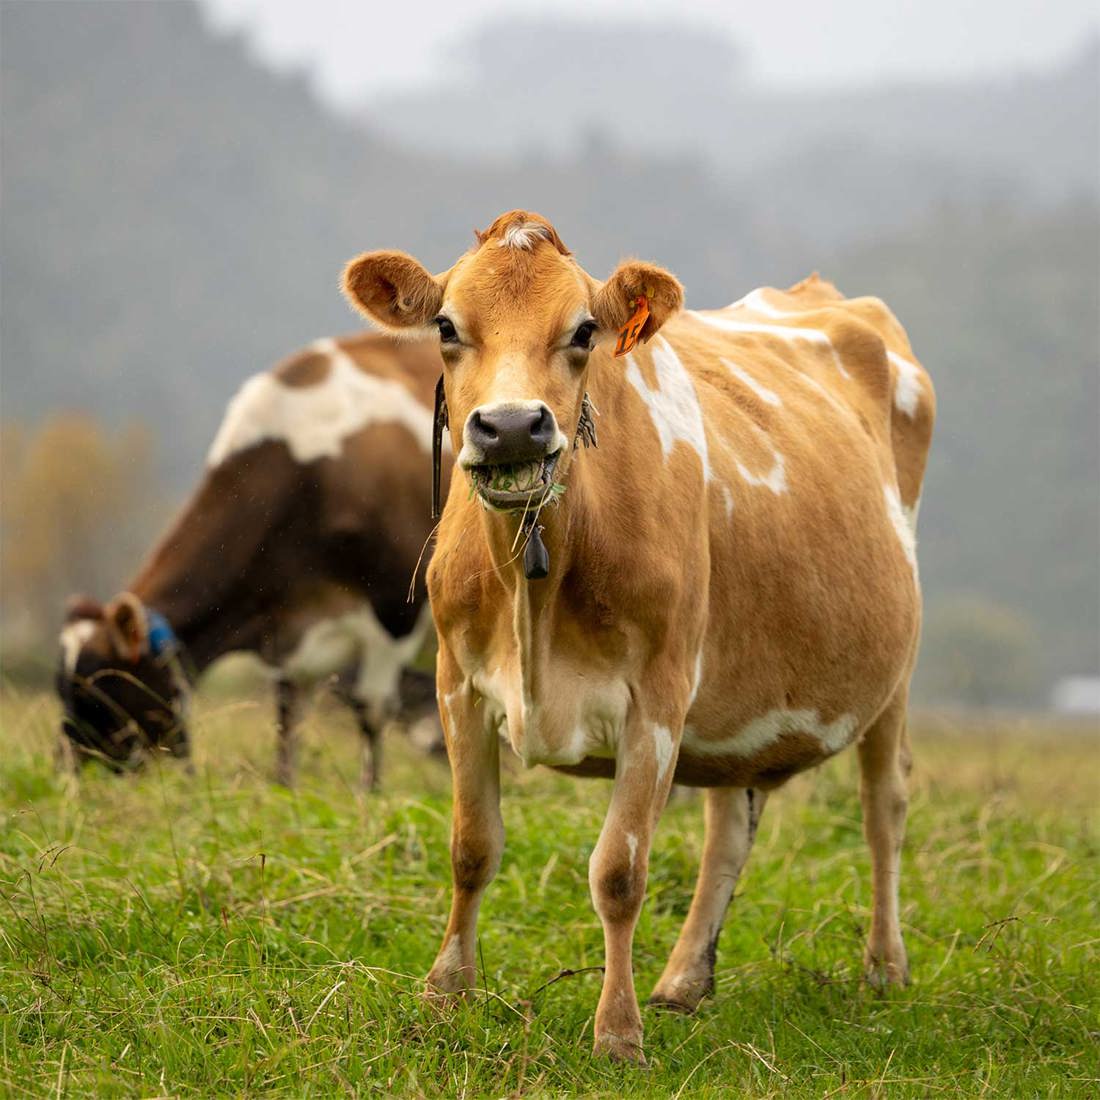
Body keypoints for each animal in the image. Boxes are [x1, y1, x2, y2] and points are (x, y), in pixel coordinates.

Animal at [56, 333, 450, 788]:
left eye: (98, 690)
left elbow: (371, 710)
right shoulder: (289, 631)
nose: (69, 777)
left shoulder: (395, 608)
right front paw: (286, 789)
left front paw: (367, 796)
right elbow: (287, 718)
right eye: (60, 690)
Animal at [340, 211, 935, 1063]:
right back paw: (684, 981)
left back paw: (884, 967)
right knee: (729, 824)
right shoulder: (458, 680)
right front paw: (445, 996)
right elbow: (471, 847)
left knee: (883, 804)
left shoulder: (656, 695)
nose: (513, 427)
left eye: (584, 330)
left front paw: (617, 1032)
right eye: (447, 327)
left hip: (892, 672)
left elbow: (619, 872)